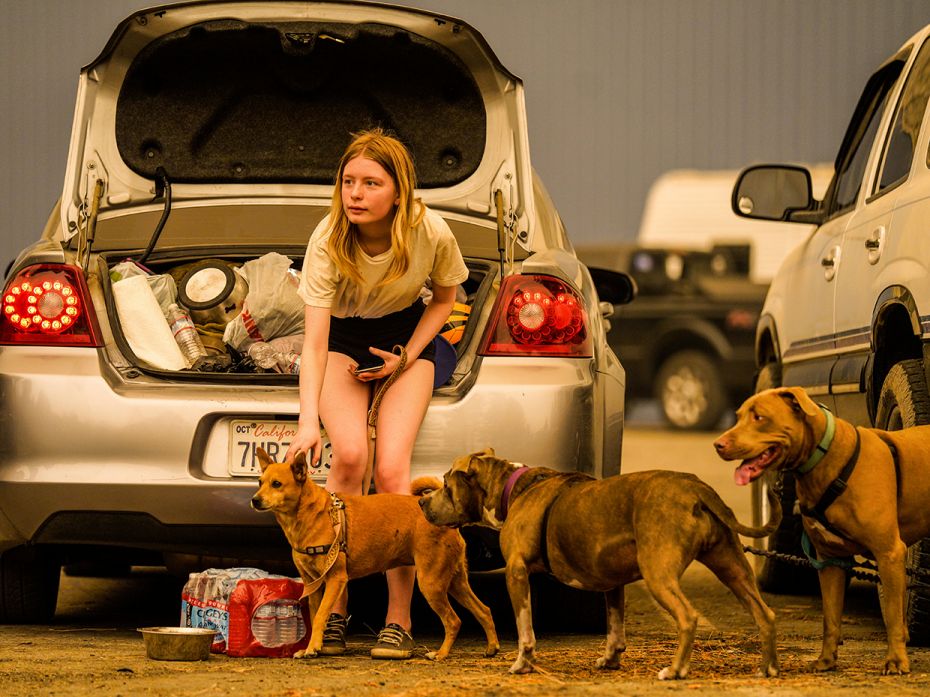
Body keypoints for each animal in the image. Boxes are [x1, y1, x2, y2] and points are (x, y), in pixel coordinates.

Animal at [248, 448, 500, 660]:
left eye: (277, 484)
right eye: (259, 482)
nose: (255, 499)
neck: (309, 515)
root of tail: (445, 520)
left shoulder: (336, 579)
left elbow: (320, 616)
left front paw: (312, 649)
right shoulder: (313, 584)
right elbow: (315, 615)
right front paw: (313, 646)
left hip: (431, 583)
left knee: (453, 621)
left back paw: (441, 654)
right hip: (455, 582)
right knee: (484, 610)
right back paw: (492, 647)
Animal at [418, 446, 776, 680]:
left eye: (447, 485)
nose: (422, 502)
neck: (511, 487)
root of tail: (696, 487)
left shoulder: (517, 573)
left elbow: (525, 629)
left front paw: (522, 663)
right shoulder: (613, 583)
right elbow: (615, 629)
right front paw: (610, 660)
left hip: (660, 573)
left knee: (688, 617)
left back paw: (675, 670)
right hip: (732, 567)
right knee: (764, 613)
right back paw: (768, 667)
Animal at [716, 386, 930, 676]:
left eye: (759, 417)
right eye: (738, 417)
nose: (718, 444)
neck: (826, 458)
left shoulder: (890, 553)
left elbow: (894, 617)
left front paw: (896, 661)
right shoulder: (830, 561)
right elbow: (830, 617)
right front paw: (827, 660)